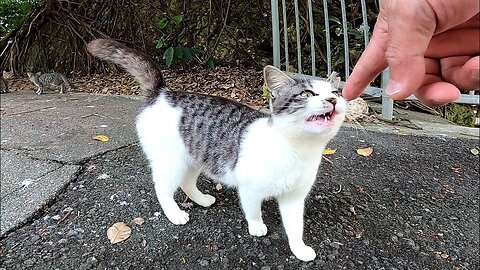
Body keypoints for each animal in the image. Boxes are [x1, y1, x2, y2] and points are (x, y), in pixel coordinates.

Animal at [87, 38, 344, 262]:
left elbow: (295, 226)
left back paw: (201, 199)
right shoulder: (249, 188)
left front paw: (299, 248)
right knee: (162, 188)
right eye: (307, 94)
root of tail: (162, 93)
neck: (298, 149)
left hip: (195, 156)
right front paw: (257, 226)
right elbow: (253, 209)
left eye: (336, 93)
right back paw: (174, 213)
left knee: (187, 182)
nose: (333, 100)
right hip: (172, 161)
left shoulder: (295, 197)